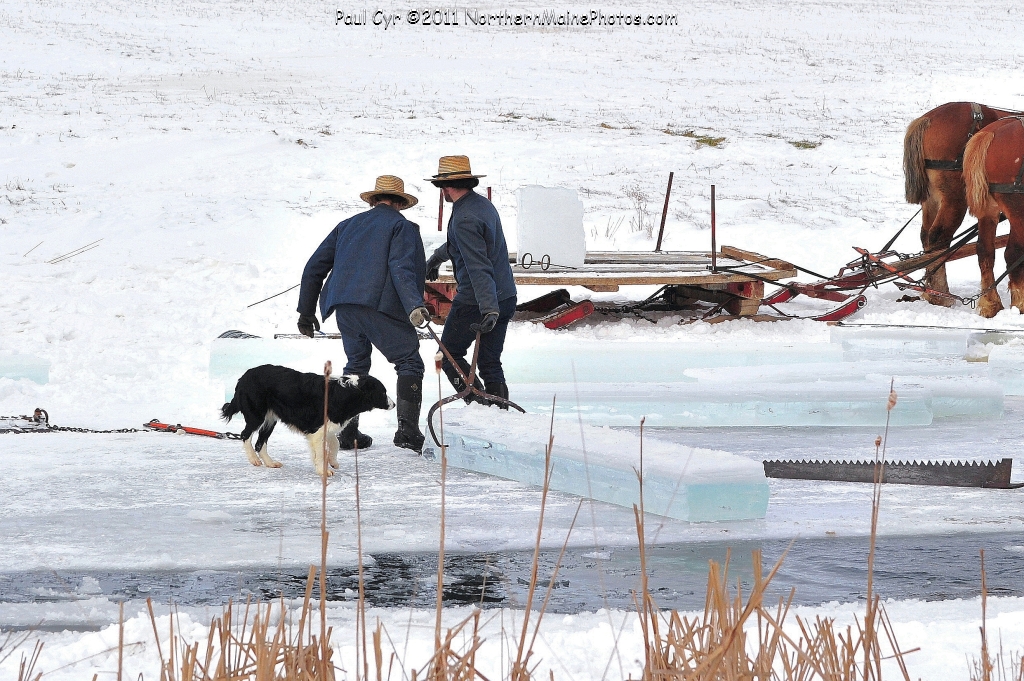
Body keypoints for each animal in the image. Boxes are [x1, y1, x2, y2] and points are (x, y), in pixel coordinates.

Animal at [901, 100, 1019, 303]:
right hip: (954, 200)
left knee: (926, 237)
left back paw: (929, 289)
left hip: (932, 199)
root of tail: (927, 119)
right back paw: (942, 294)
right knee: (938, 238)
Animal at [962, 115, 1024, 317]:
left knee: (985, 251)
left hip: (989, 209)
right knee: (1013, 254)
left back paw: (990, 303)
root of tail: (991, 132)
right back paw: (1019, 304)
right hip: (1018, 210)